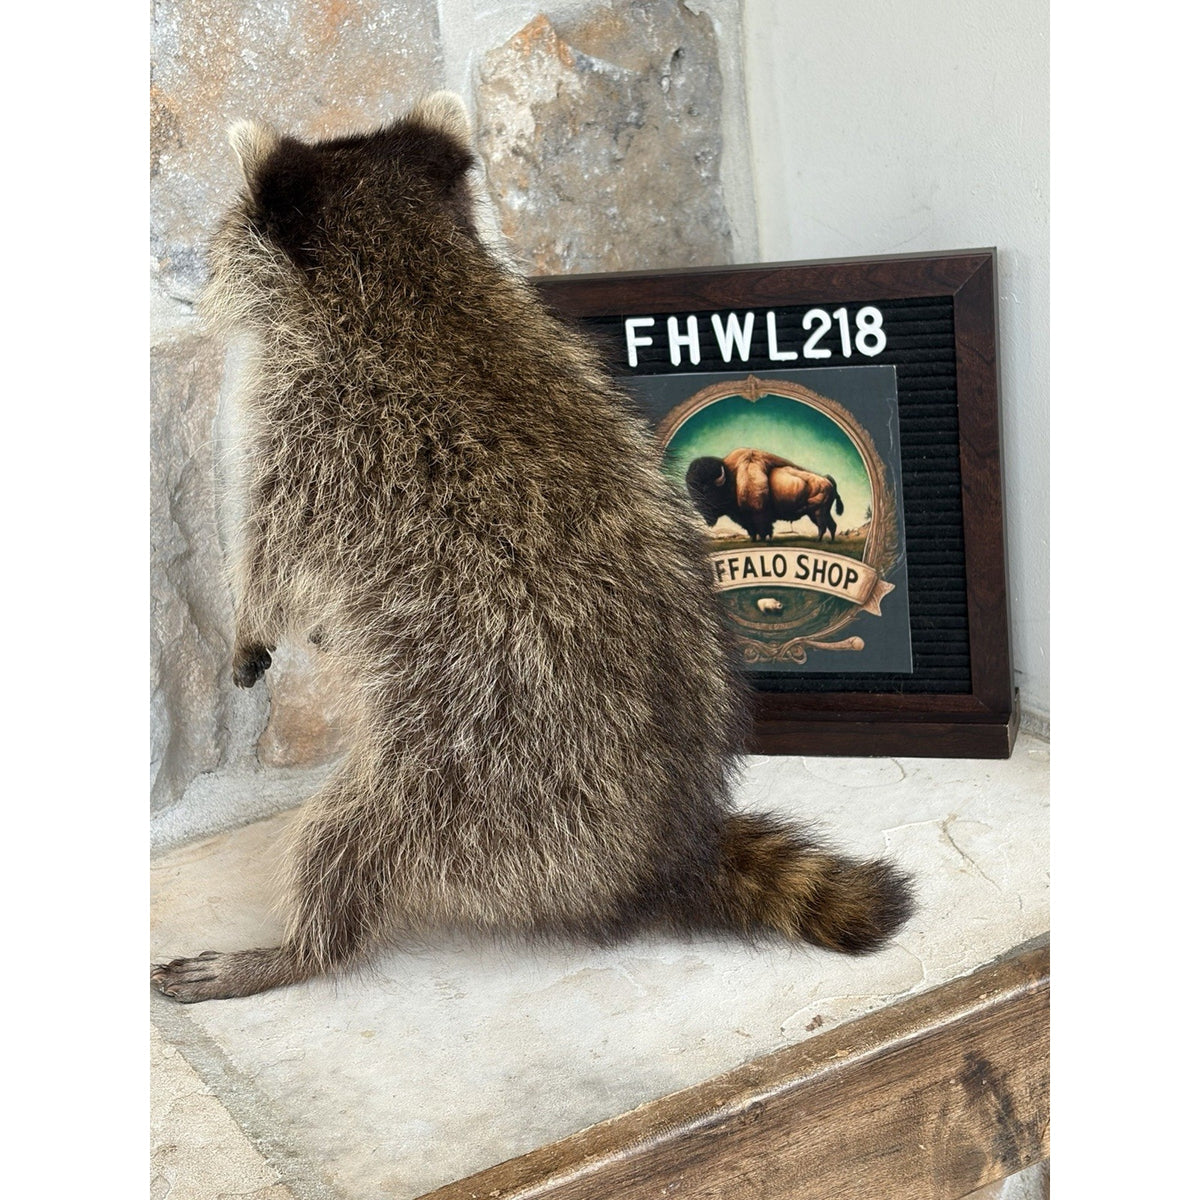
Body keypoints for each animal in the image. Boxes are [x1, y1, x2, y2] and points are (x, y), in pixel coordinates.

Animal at [151, 93, 913, 1003]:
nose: (196, 281)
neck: (407, 263)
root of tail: (656, 856)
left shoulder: (313, 432)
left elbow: (274, 553)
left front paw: (251, 621)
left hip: (480, 767)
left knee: (354, 833)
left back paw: (301, 947)